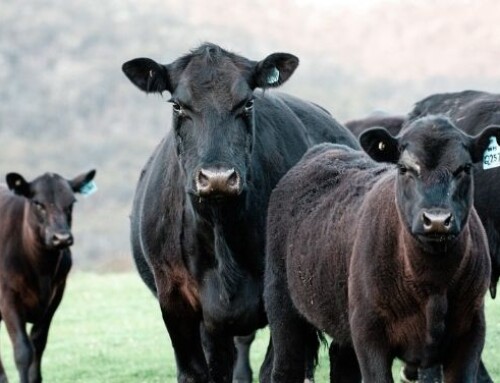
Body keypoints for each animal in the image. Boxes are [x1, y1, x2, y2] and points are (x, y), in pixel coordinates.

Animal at [0, 171, 95, 383]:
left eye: (72, 202)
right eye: (38, 203)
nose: (61, 238)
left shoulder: (56, 293)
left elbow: (38, 342)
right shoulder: (7, 297)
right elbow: (22, 350)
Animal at [122, 43, 360, 382]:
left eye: (247, 103)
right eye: (178, 106)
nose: (217, 177)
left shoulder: (283, 302)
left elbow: (274, 370)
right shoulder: (175, 300)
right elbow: (197, 372)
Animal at [264, 117, 494, 383]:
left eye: (465, 168)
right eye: (403, 168)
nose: (437, 220)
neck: (433, 285)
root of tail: (323, 150)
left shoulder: (471, 332)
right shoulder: (369, 334)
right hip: (281, 305)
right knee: (286, 366)